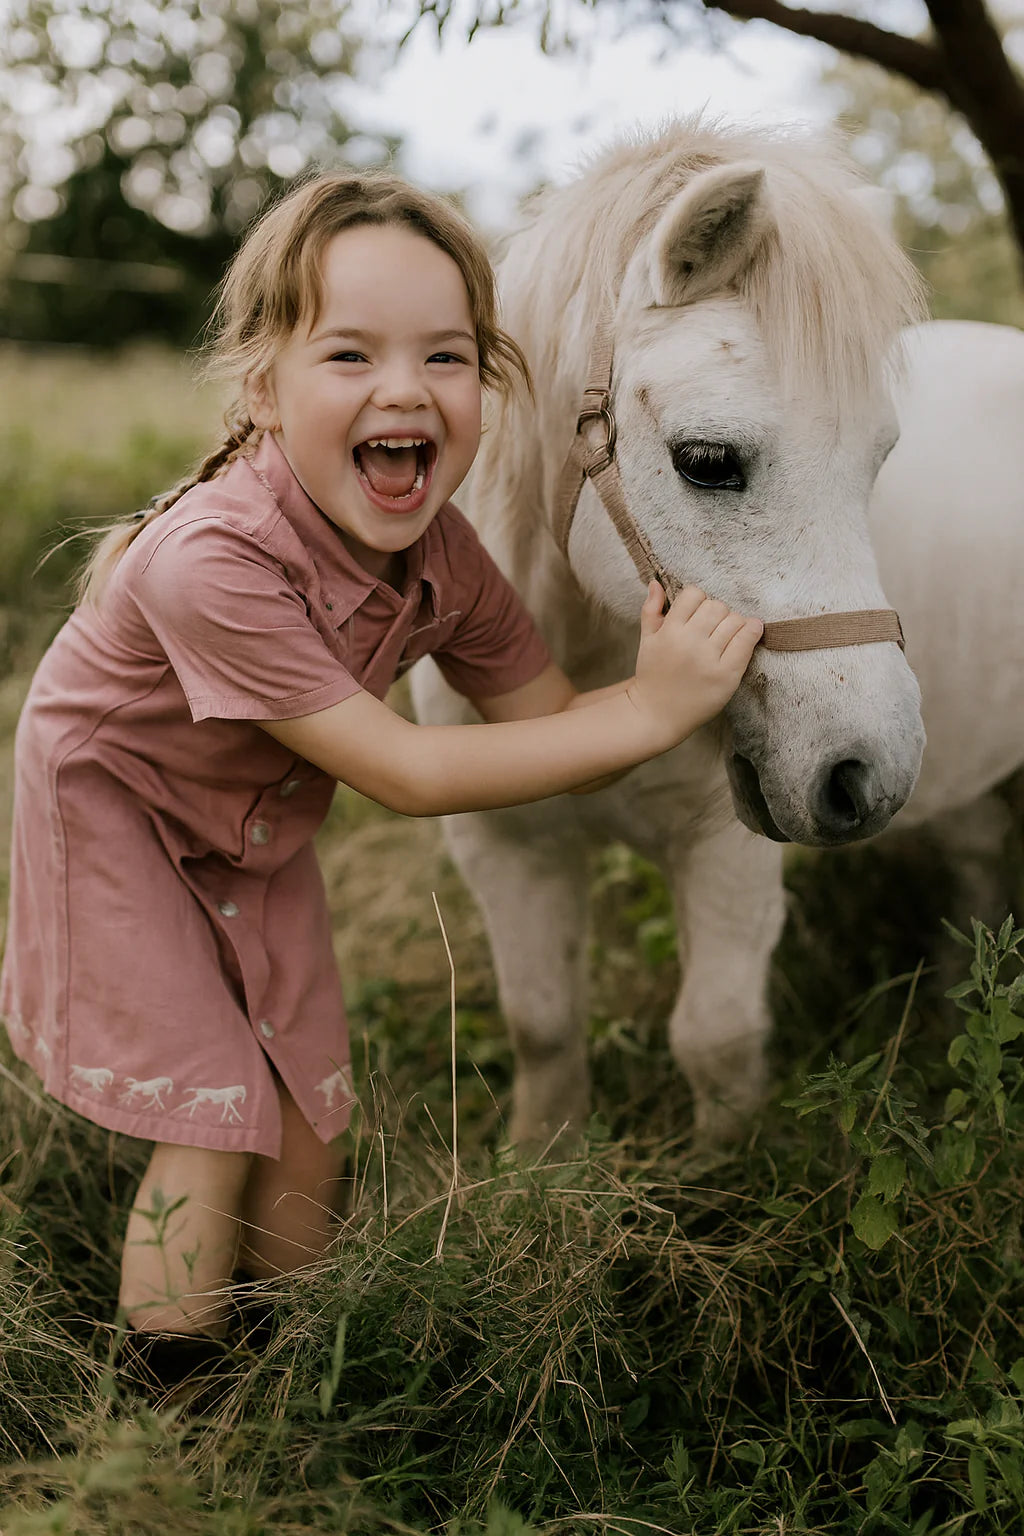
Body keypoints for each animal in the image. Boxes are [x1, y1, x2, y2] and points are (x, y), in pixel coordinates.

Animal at [411, 119, 1024, 1146]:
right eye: (706, 461)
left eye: (880, 458)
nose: (868, 771)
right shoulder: (505, 849)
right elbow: (543, 1024)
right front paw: (543, 1156)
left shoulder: (724, 851)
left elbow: (716, 1038)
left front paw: (725, 1168)